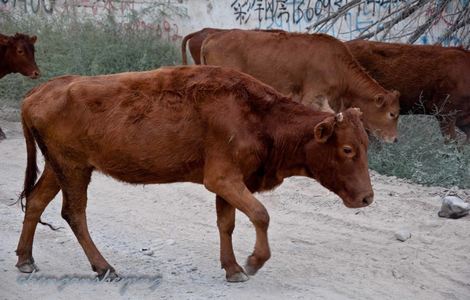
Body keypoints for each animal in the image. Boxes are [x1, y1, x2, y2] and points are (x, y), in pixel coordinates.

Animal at [16, 65, 372, 282]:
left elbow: (227, 223)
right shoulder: (223, 179)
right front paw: (254, 261)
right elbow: (260, 214)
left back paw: (25, 260)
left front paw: (232, 268)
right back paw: (104, 268)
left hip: (59, 168)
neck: (258, 115)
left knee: (36, 201)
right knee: (74, 212)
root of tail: (37, 92)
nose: (367, 197)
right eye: (347, 150)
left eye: (366, 145)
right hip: (73, 168)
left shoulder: (229, 183)